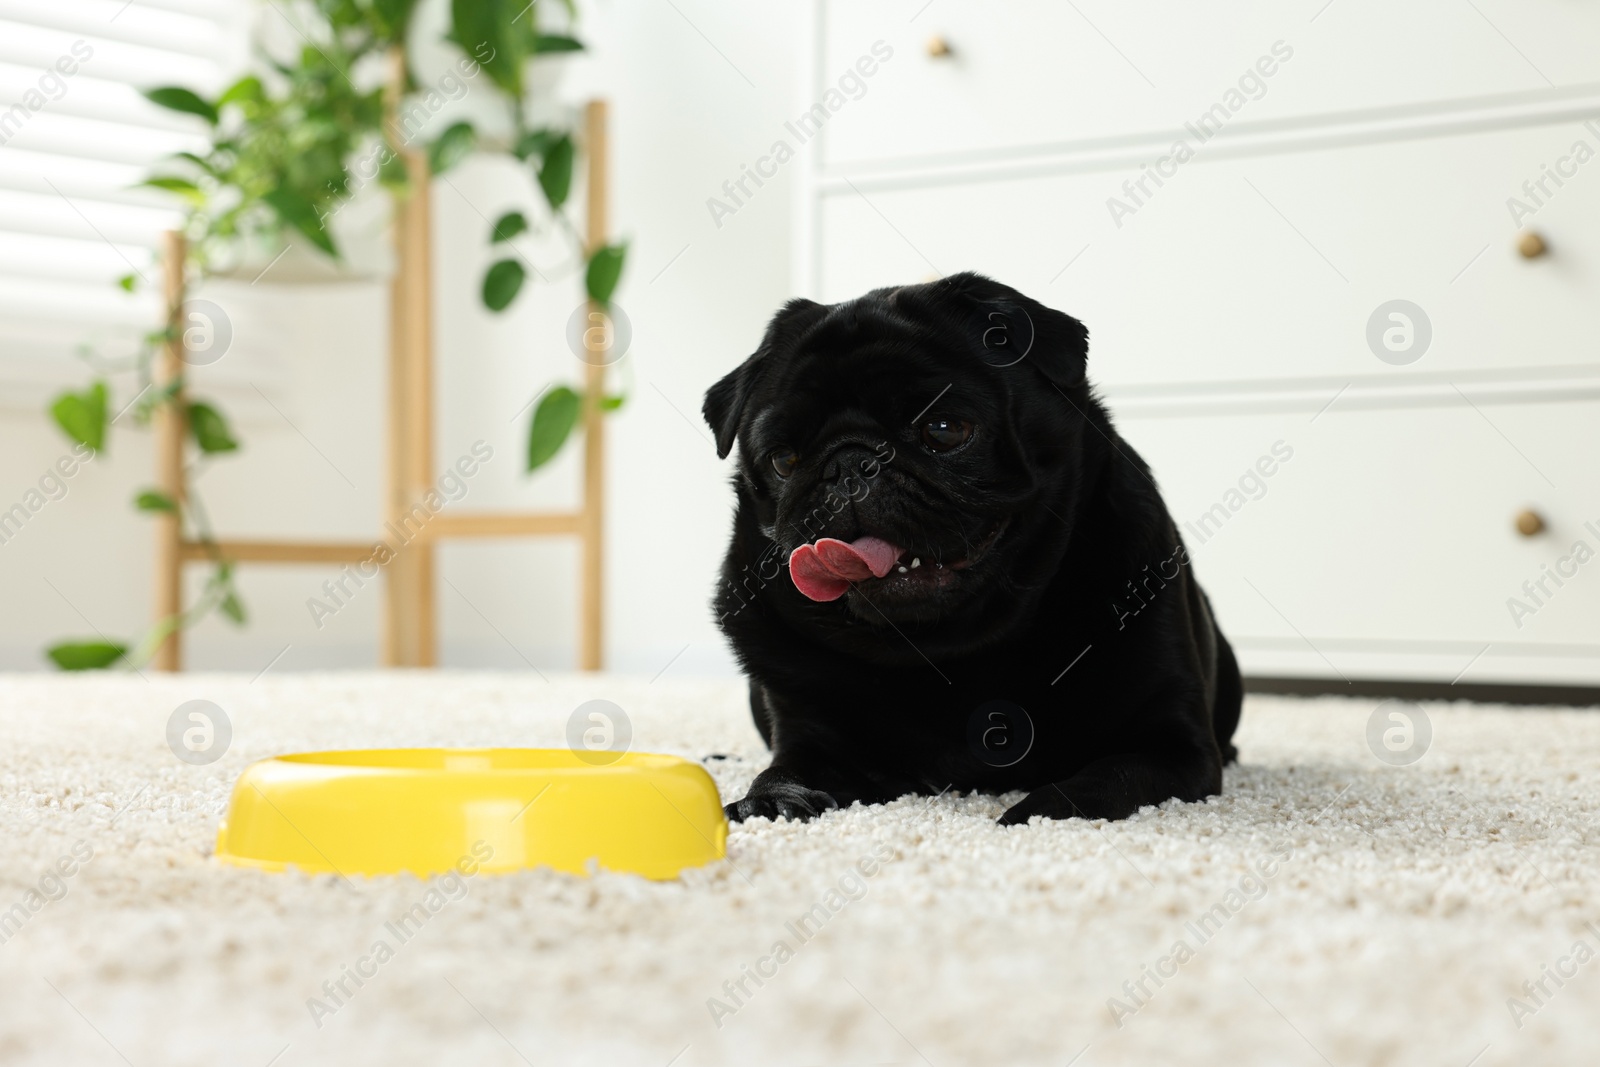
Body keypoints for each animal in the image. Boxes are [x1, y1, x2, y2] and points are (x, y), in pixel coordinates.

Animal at [707, 273, 1241, 825]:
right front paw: (769, 801)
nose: (849, 463)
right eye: (783, 460)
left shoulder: (1172, 746)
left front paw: (1043, 810)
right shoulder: (815, 742)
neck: (950, 644)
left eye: (943, 430)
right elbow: (784, 770)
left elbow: (1110, 777)